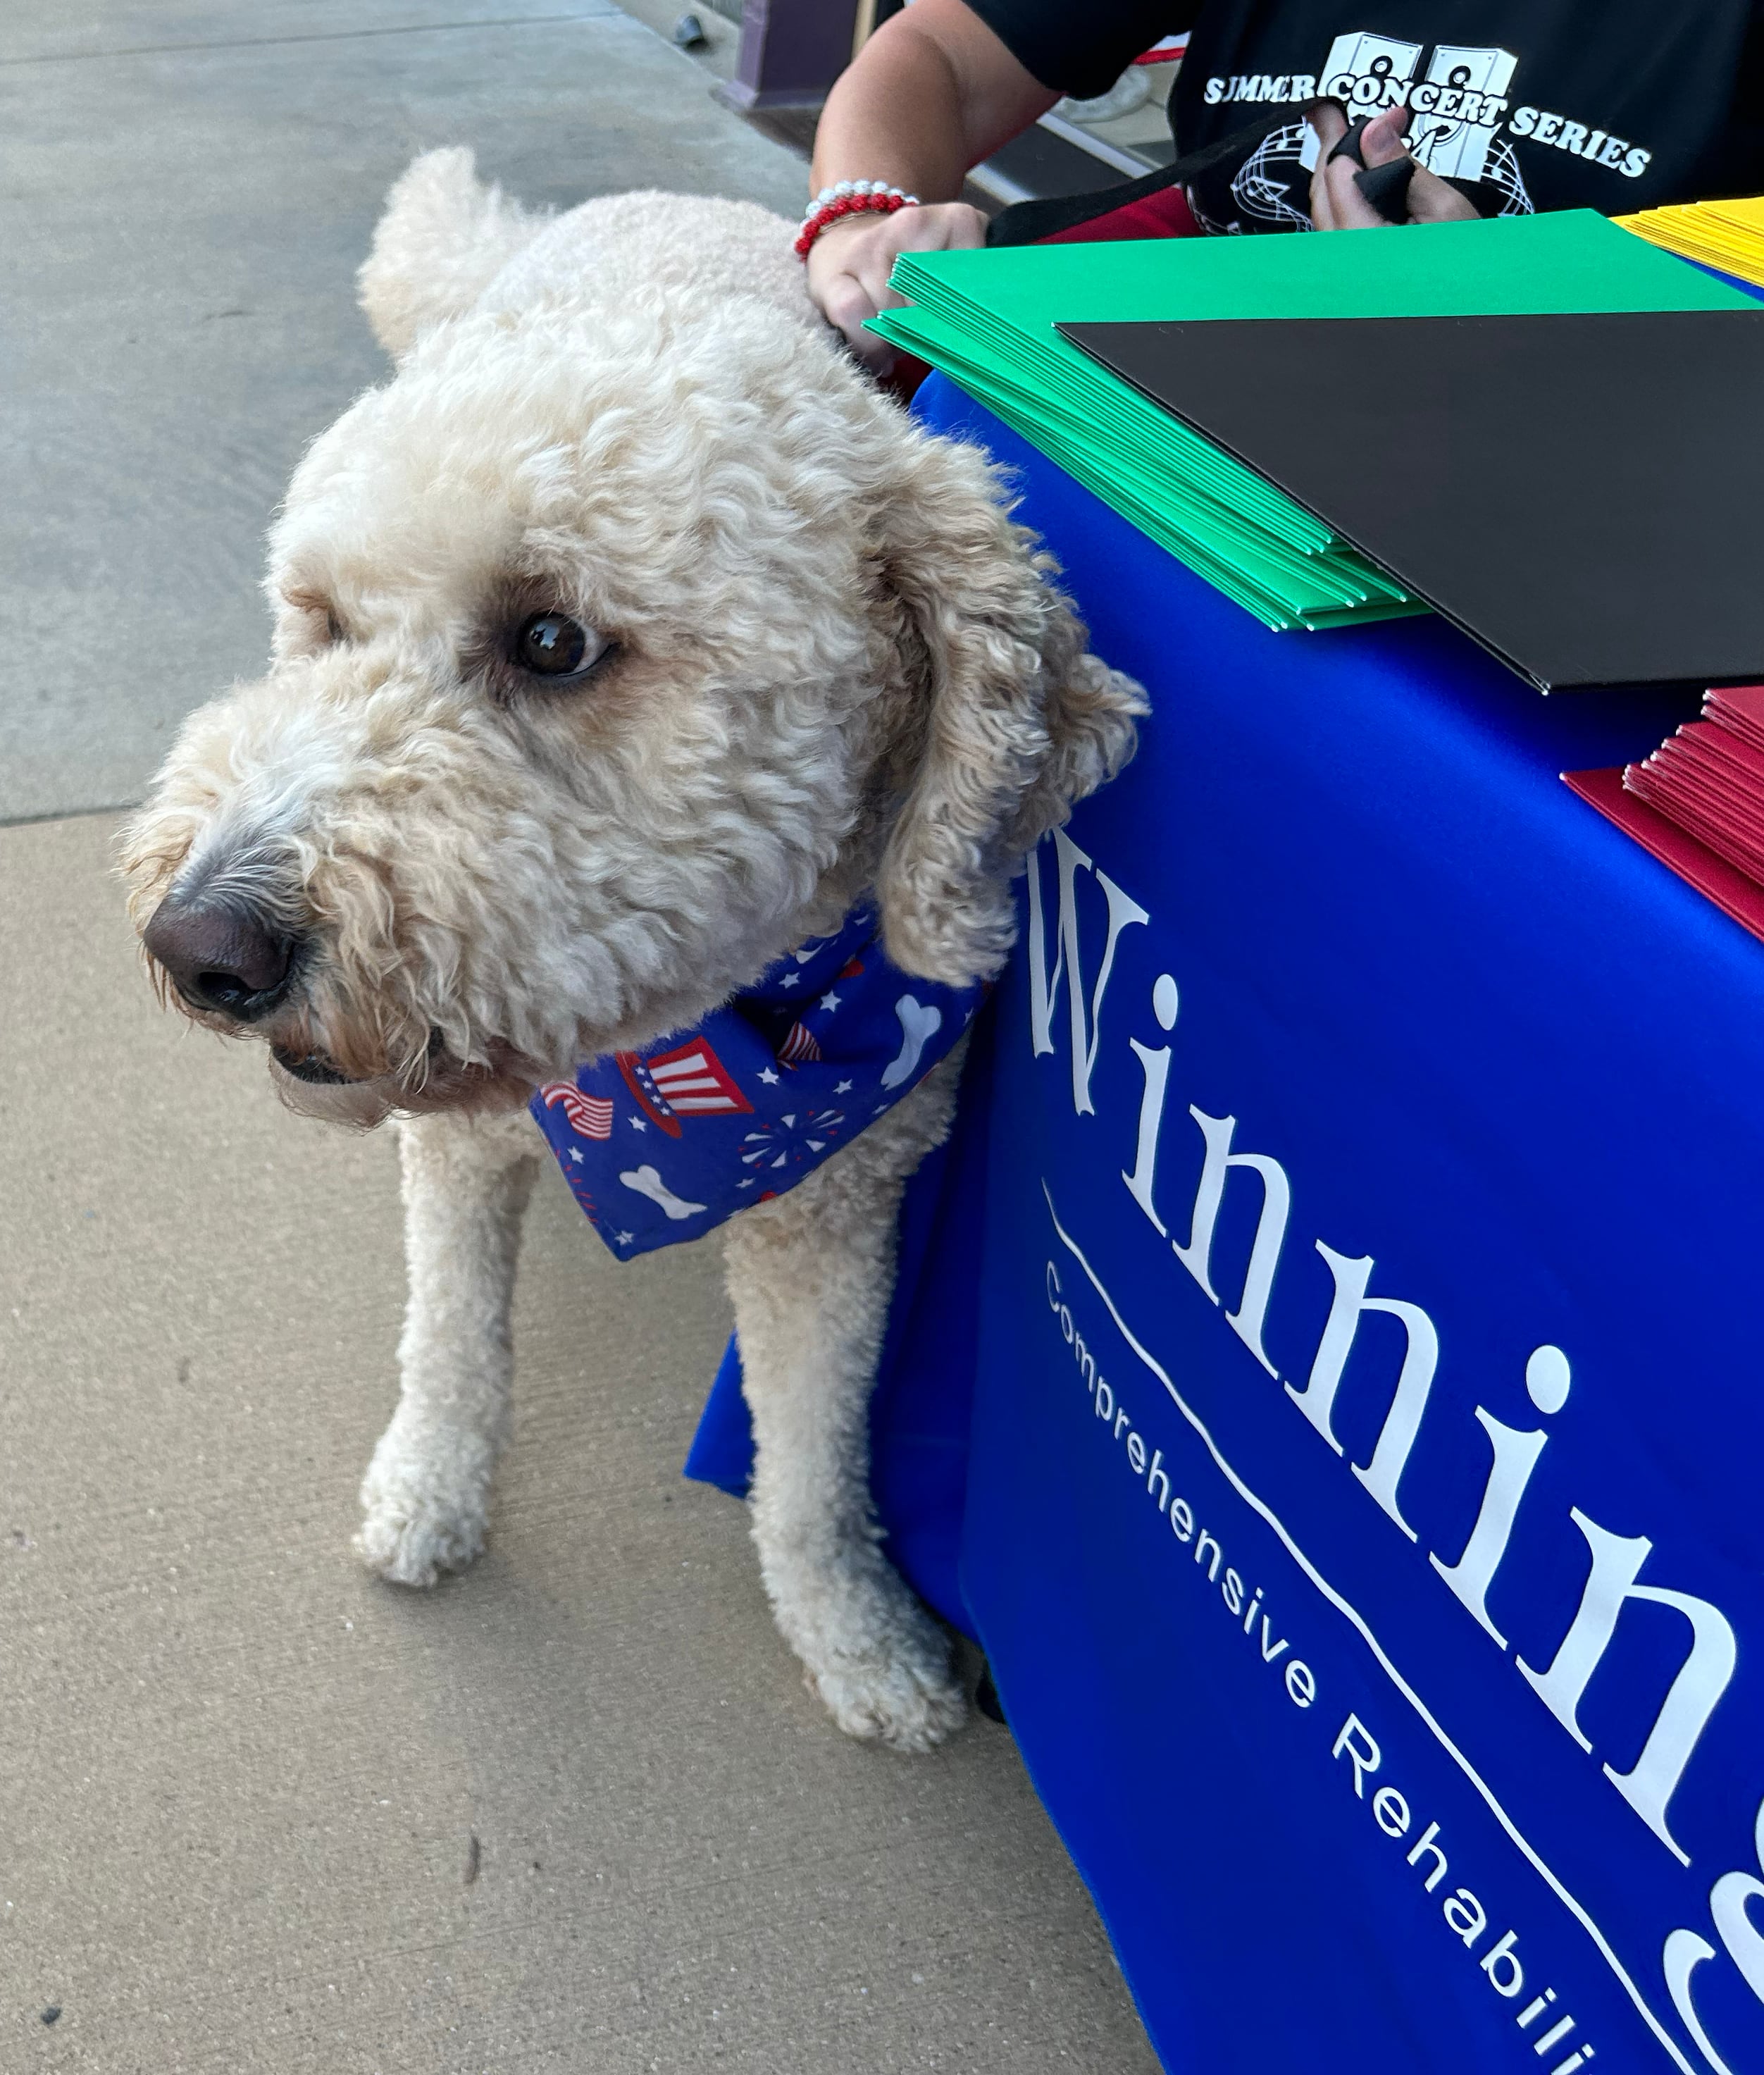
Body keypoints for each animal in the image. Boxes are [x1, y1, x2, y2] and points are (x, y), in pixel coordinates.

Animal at [123, 153, 1137, 1751]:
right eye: (322, 622)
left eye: (552, 641)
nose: (198, 943)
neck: (677, 1050)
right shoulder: (457, 1148)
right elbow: (450, 1338)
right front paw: (428, 1489)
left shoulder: (839, 1212)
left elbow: (814, 1459)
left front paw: (855, 1633)